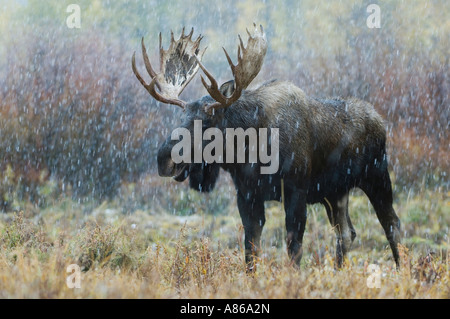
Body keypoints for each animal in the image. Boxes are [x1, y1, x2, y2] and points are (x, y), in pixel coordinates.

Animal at [132, 24, 402, 270]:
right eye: (182, 118)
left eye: (206, 122)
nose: (164, 159)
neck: (250, 149)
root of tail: (380, 120)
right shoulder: (247, 194)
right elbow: (251, 249)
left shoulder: (296, 190)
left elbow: (294, 247)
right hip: (335, 192)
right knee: (346, 232)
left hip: (377, 176)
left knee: (392, 224)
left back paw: (402, 271)